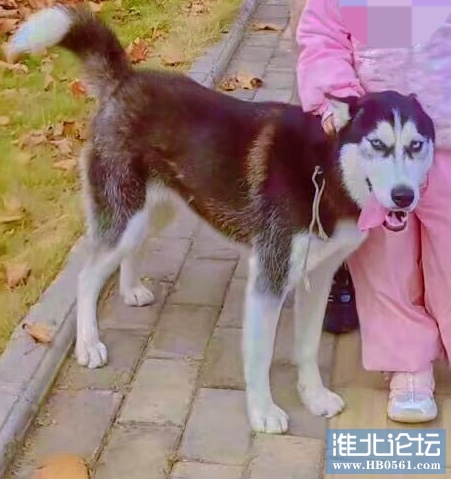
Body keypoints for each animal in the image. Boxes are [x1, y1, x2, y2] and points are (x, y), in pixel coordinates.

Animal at [7, 6, 435, 434]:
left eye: (416, 145)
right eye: (377, 144)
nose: (404, 196)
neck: (325, 167)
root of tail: (127, 79)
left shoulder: (319, 277)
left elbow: (308, 348)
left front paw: (313, 397)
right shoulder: (270, 277)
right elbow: (260, 357)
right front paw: (263, 412)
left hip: (156, 210)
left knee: (133, 248)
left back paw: (130, 289)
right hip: (125, 212)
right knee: (87, 275)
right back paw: (88, 344)